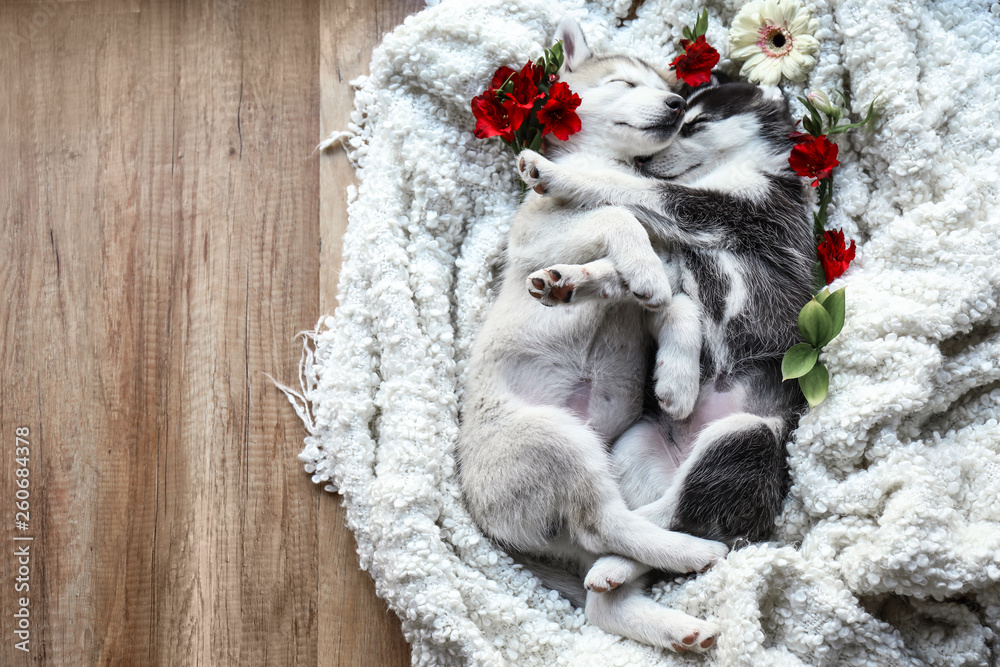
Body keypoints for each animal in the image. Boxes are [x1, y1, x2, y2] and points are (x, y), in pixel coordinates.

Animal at [458, 19, 732, 652]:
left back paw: (680, 625)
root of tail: (493, 528)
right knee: (604, 526)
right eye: (624, 83)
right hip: (557, 443)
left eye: (670, 91)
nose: (677, 104)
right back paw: (692, 551)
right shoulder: (541, 239)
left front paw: (676, 381)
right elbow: (617, 218)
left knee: (603, 592)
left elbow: (676, 306)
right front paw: (612, 270)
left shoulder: (651, 302)